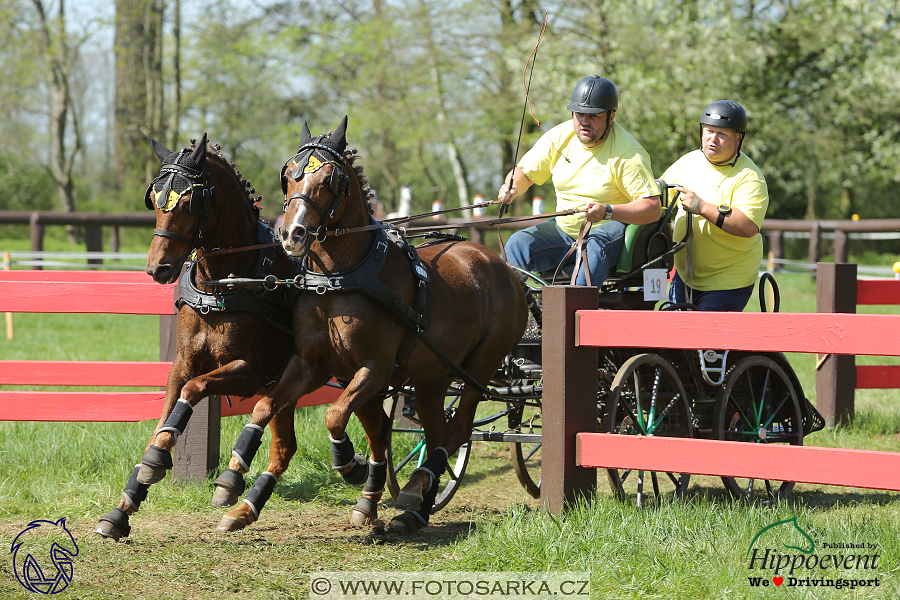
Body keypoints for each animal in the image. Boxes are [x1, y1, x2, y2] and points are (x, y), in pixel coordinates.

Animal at [95, 135, 300, 540]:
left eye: (190, 201)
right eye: (154, 199)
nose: (157, 268)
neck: (221, 285)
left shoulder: (249, 371)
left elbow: (194, 390)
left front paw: (158, 461)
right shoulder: (184, 362)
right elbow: (165, 417)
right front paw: (127, 501)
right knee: (285, 448)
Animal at [215, 118, 528, 536]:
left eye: (330, 178)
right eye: (288, 174)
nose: (291, 233)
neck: (338, 279)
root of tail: (501, 265)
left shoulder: (374, 370)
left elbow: (334, 415)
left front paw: (351, 464)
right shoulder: (311, 365)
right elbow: (266, 405)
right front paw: (234, 485)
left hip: (480, 365)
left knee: (459, 428)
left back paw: (413, 487)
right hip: (433, 377)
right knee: (436, 431)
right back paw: (415, 508)